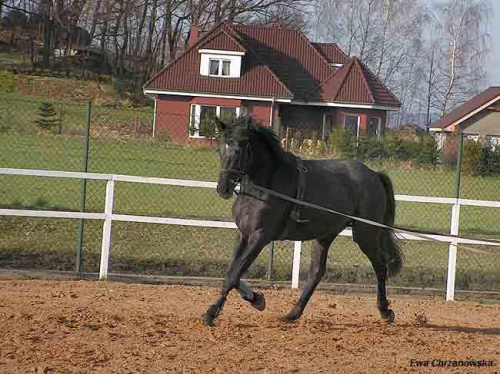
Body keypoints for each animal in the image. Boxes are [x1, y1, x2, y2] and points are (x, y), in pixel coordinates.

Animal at [201, 118, 404, 326]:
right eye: (220, 149)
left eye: (239, 149)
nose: (223, 188)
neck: (264, 185)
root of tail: (374, 175)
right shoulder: (242, 234)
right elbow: (232, 271)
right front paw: (256, 299)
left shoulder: (260, 237)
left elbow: (234, 273)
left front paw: (212, 312)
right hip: (325, 234)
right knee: (317, 272)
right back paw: (293, 313)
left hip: (366, 235)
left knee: (380, 266)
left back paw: (385, 311)